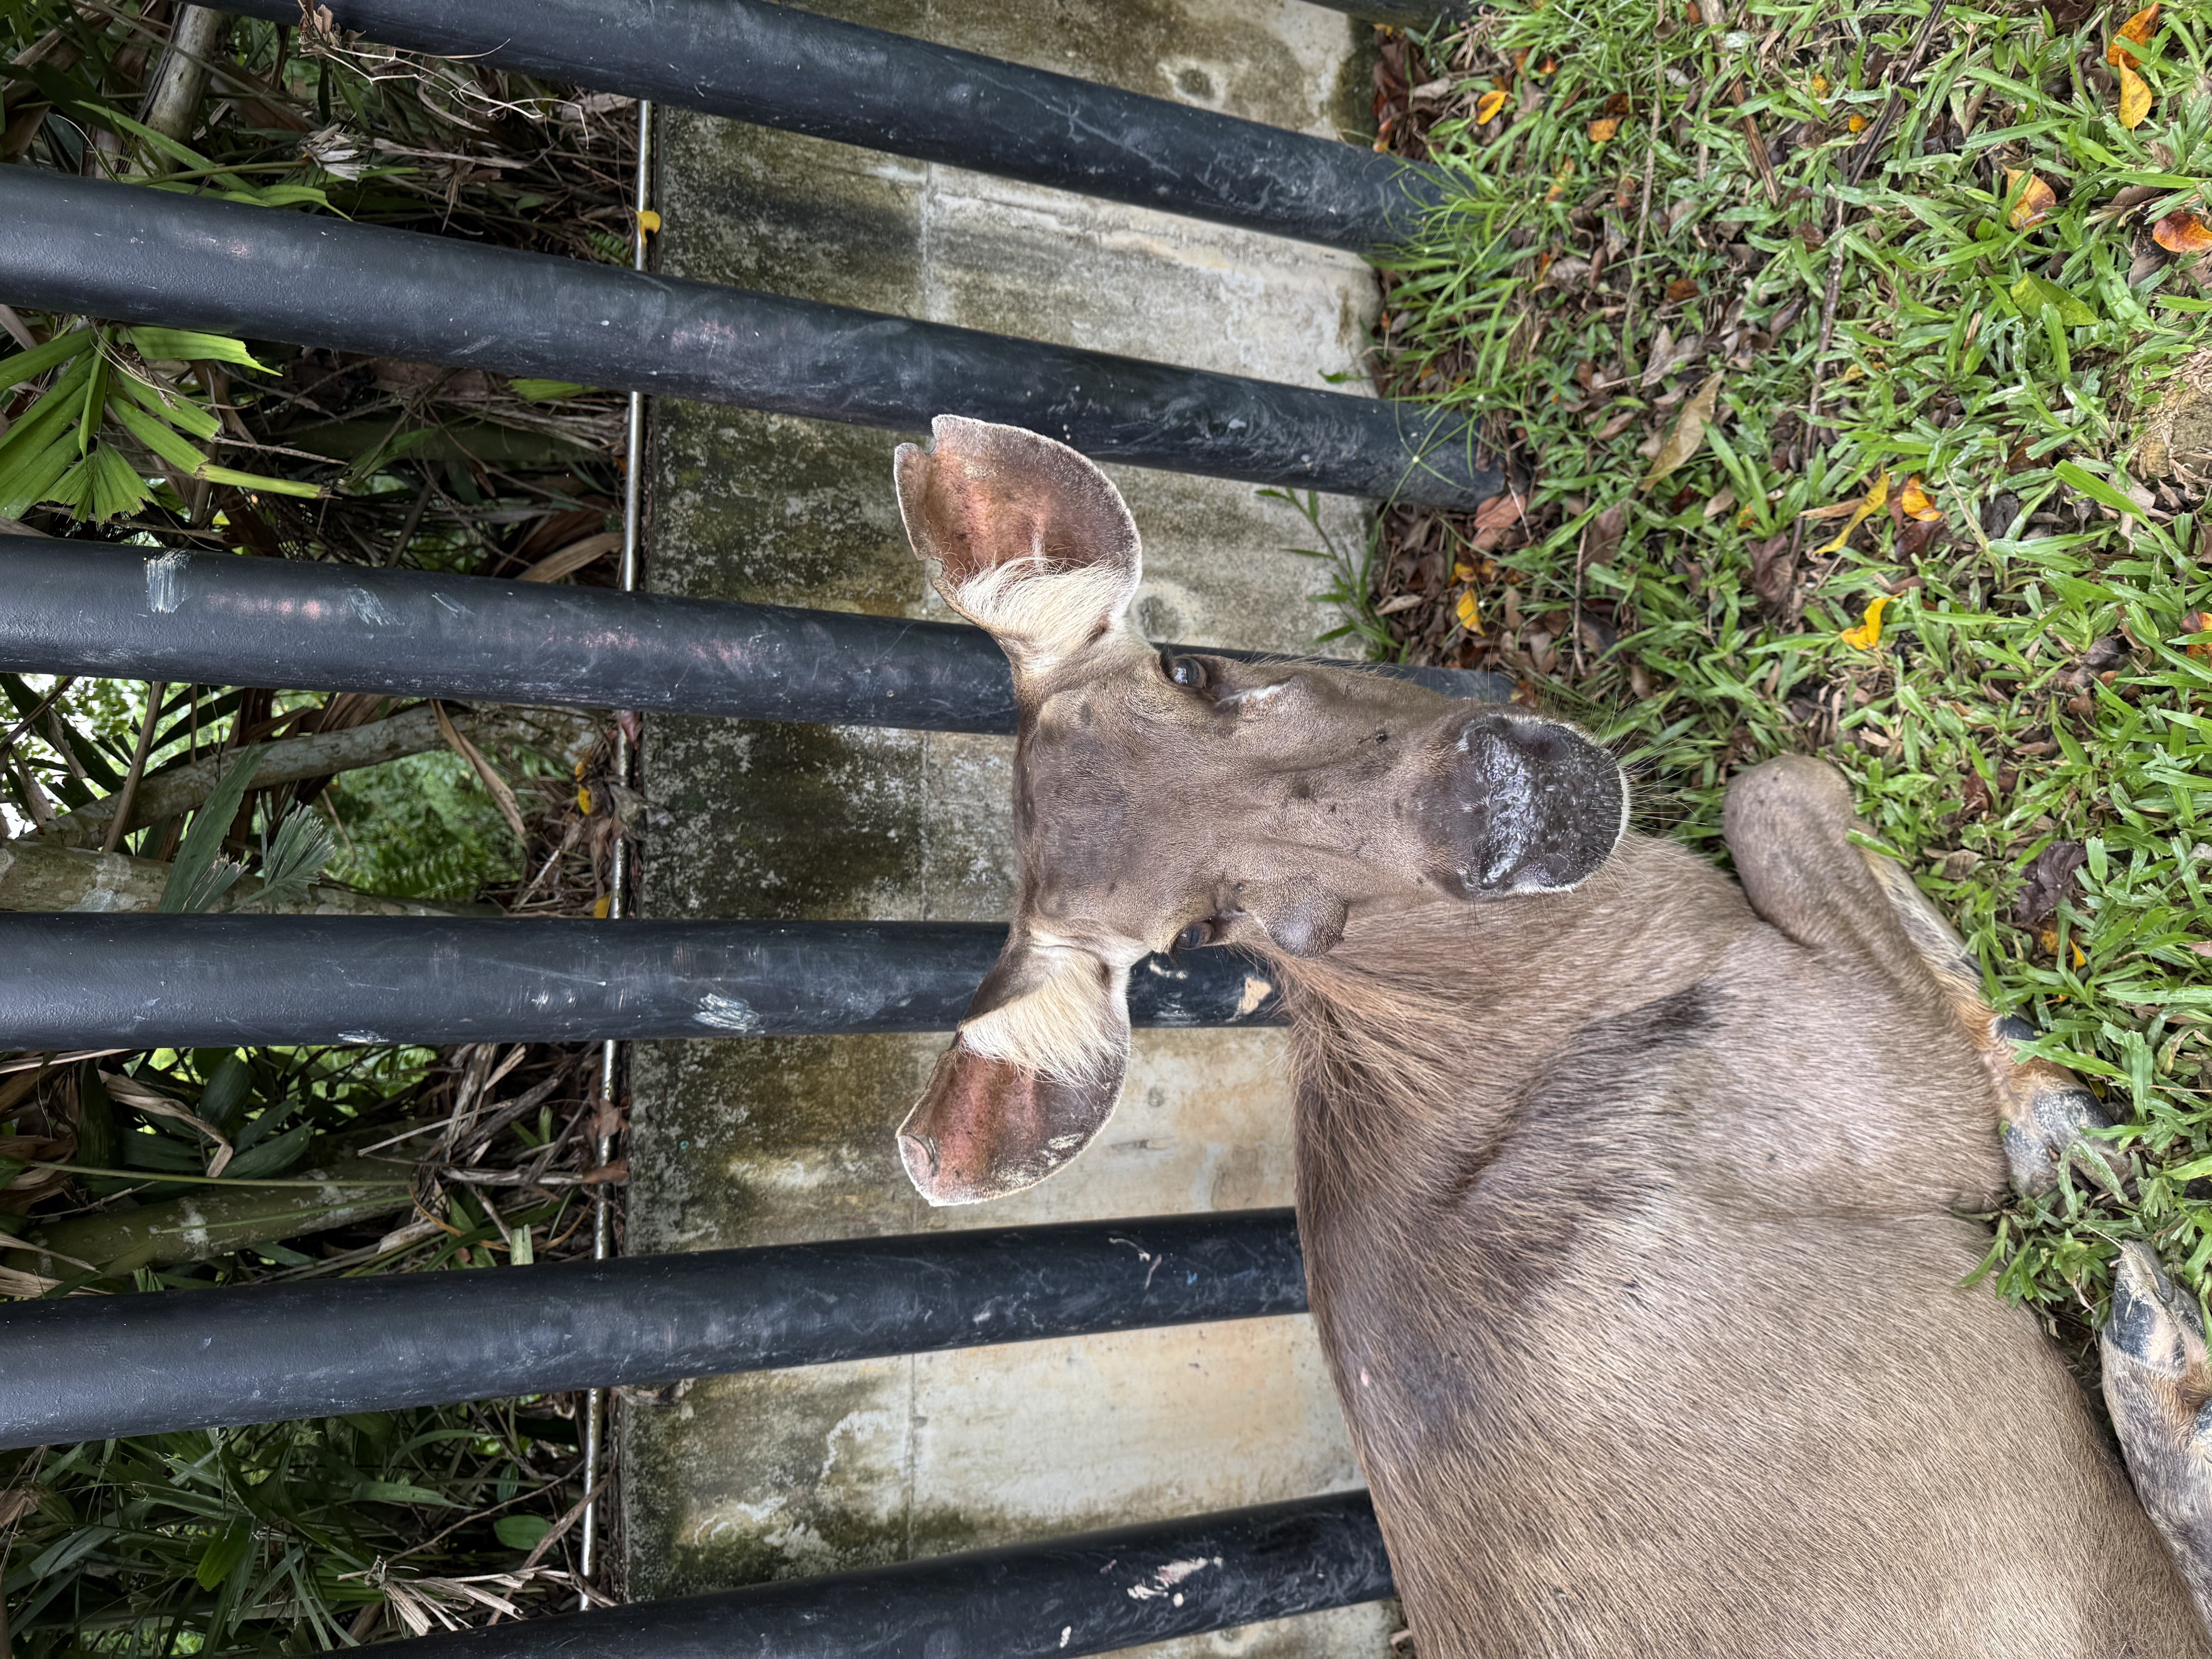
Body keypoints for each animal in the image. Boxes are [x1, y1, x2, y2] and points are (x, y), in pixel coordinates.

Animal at [881, 415, 2212, 1656]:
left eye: (1191, 667)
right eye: (1200, 930)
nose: (1496, 810)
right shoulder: (1868, 1092)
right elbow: (1781, 786)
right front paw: (2062, 1117)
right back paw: (2162, 1353)